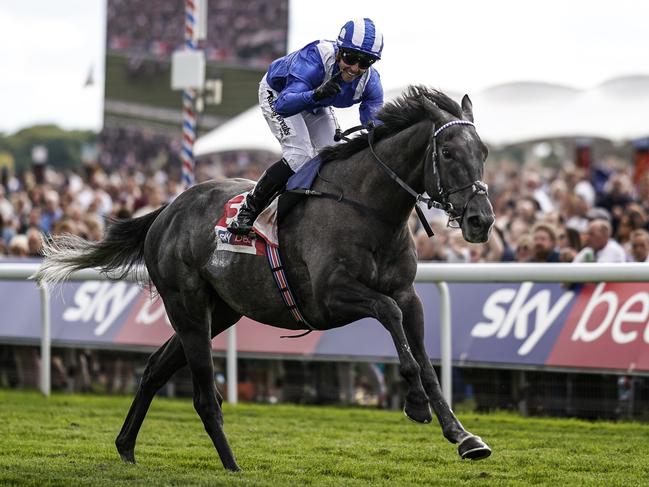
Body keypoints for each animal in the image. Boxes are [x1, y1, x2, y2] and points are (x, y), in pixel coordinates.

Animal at [36, 86, 492, 472]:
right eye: (447, 152)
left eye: (484, 151)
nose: (481, 220)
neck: (367, 207)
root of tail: (166, 210)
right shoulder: (330, 297)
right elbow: (389, 314)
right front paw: (414, 403)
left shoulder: (408, 293)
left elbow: (423, 355)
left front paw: (463, 436)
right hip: (186, 306)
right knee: (204, 394)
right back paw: (231, 464)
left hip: (221, 311)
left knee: (154, 368)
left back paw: (127, 446)